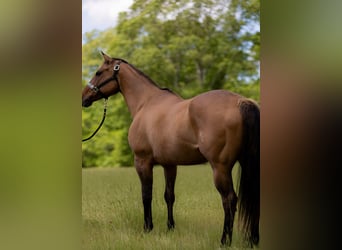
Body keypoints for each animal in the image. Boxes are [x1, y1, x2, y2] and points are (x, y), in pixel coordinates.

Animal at [82, 51, 260, 247]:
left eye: (98, 72)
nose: (84, 97)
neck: (146, 103)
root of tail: (241, 101)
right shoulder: (170, 164)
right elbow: (169, 195)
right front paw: (170, 228)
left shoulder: (142, 161)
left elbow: (146, 195)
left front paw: (147, 228)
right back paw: (253, 240)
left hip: (220, 168)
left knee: (229, 200)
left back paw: (224, 241)